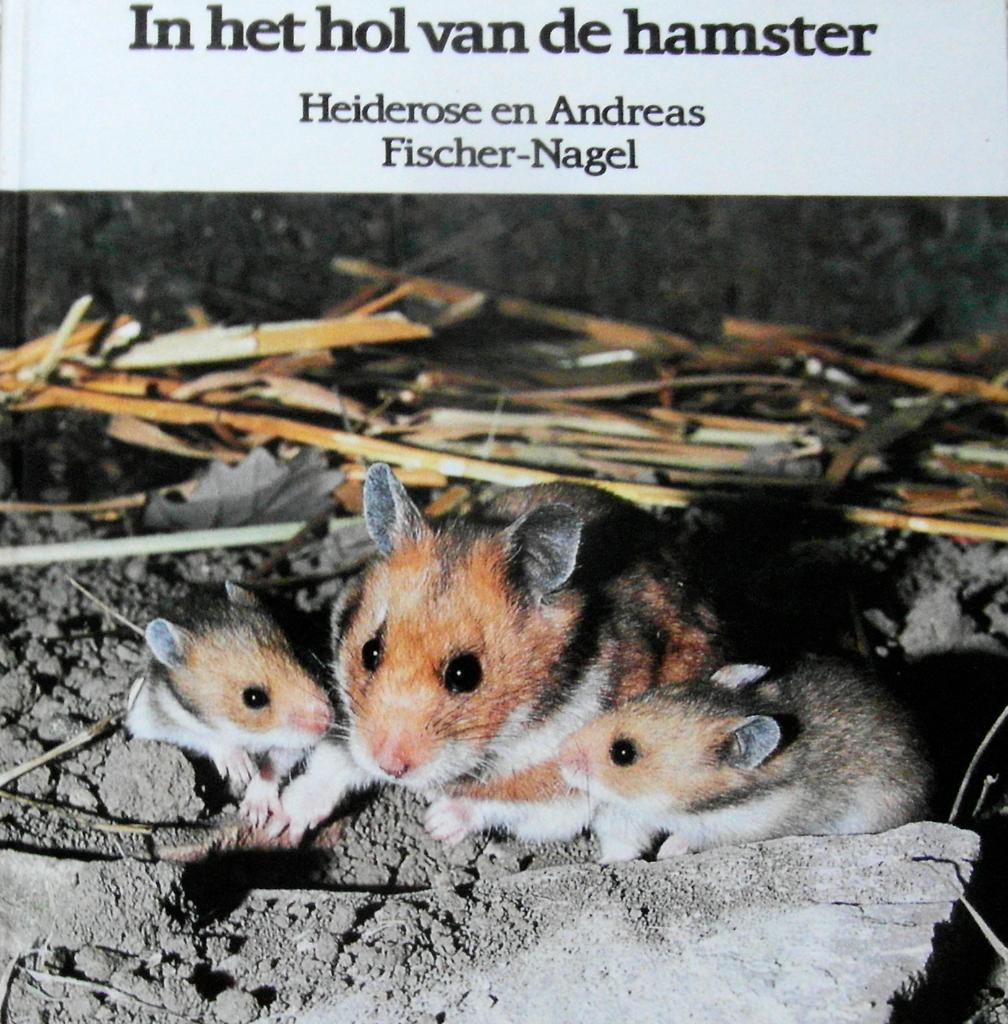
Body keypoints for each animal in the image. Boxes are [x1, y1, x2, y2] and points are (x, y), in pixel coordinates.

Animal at [126, 582, 334, 826]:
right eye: (253, 698)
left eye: (299, 658)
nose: (330, 719)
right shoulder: (167, 718)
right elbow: (209, 738)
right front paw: (242, 770)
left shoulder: (291, 744)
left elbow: (274, 763)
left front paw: (254, 813)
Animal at [268, 463, 723, 844]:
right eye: (370, 651)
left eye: (465, 674)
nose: (391, 768)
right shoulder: (349, 723)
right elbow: (331, 764)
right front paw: (279, 823)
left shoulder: (564, 782)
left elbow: (502, 801)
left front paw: (437, 823)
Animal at [557, 657, 932, 862]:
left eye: (623, 752)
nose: (561, 754)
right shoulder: (629, 814)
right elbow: (622, 845)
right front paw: (599, 863)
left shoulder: (740, 826)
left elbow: (688, 838)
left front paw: (666, 853)